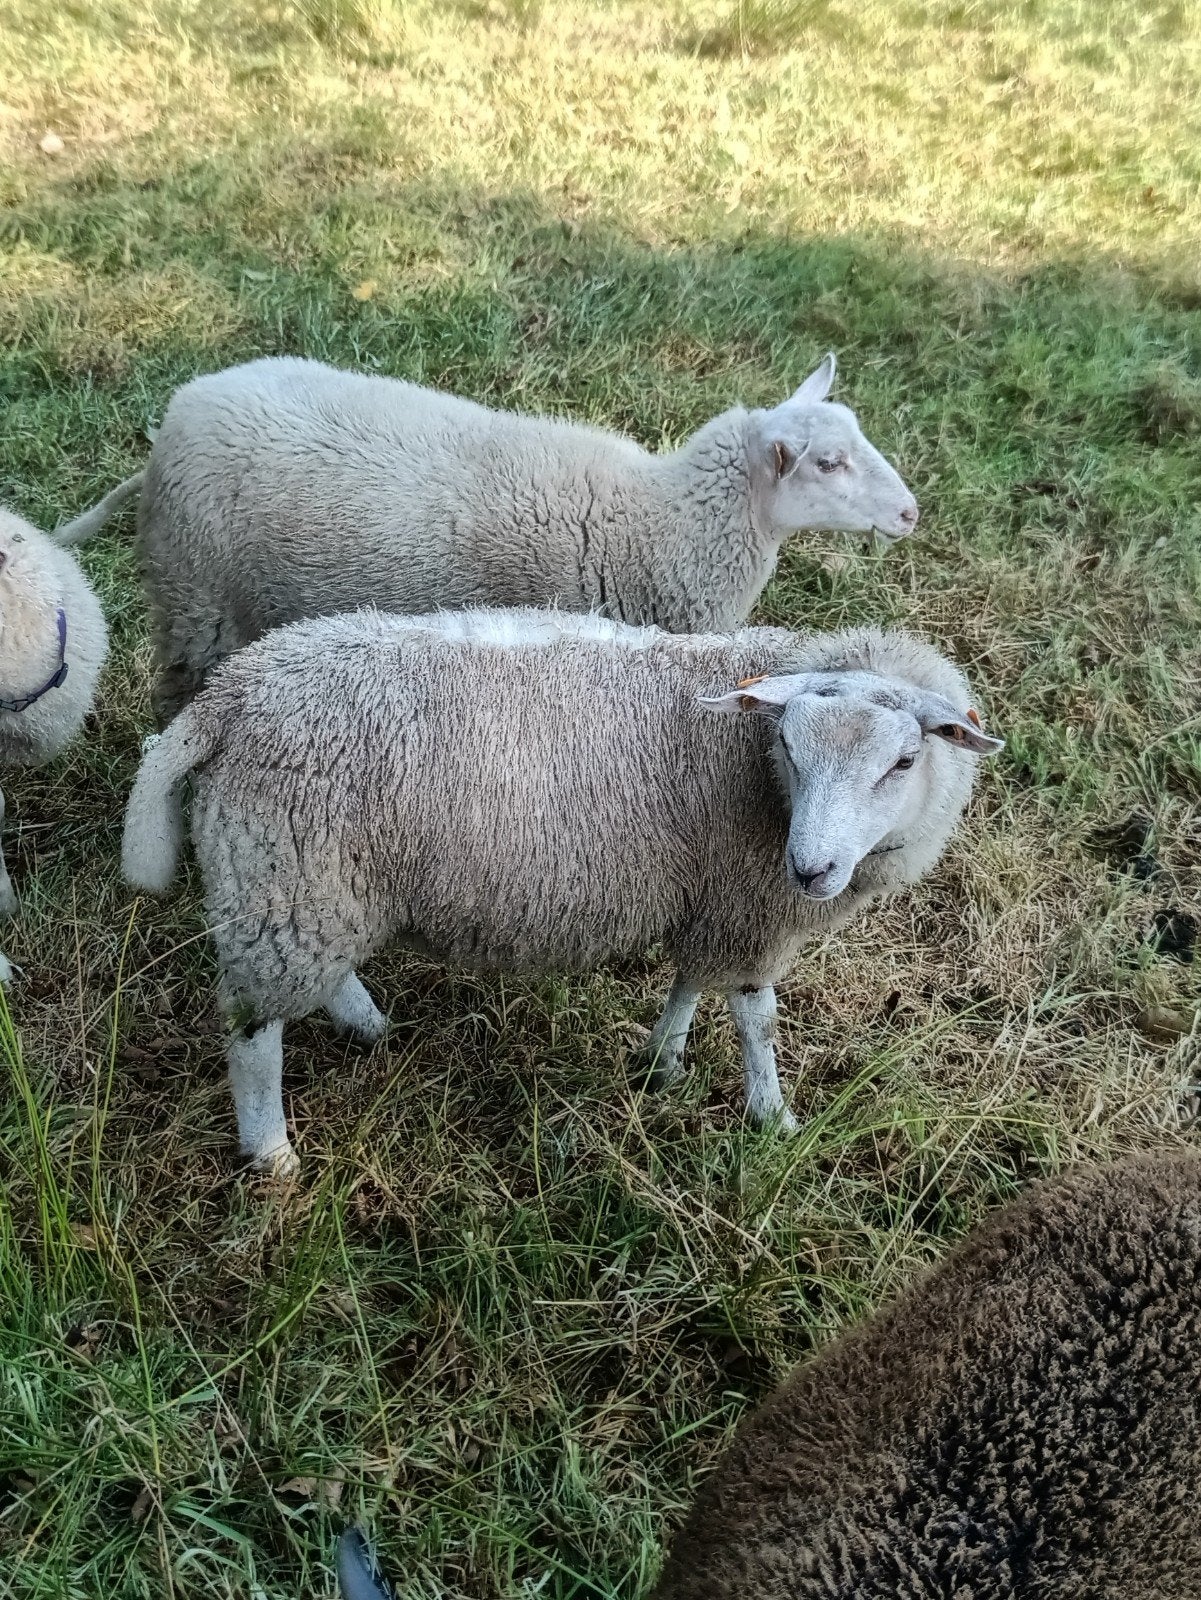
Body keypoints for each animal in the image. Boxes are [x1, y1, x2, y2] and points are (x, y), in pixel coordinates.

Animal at [121, 608, 1000, 1175]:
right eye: (785, 744)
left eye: (902, 762)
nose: (810, 870)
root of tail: (233, 691)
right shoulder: (749, 908)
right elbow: (756, 1018)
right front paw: (772, 1117)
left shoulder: (712, 897)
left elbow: (689, 981)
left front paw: (663, 1060)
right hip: (285, 877)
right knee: (251, 1029)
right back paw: (271, 1153)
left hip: (313, 887)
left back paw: (366, 1023)